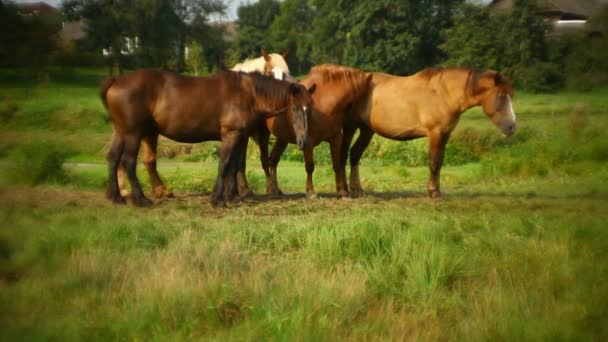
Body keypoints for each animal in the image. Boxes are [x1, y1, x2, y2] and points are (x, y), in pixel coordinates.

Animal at [100, 70, 316, 206]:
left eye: (310, 109)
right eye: (295, 108)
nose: (303, 140)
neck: (248, 94)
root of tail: (116, 80)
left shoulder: (239, 137)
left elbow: (234, 166)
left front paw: (233, 197)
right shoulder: (231, 135)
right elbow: (225, 165)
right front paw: (218, 199)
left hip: (122, 132)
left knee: (113, 158)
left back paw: (116, 197)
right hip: (133, 133)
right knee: (128, 162)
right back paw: (140, 199)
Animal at [255, 64, 370, 198]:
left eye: (310, 108)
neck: (325, 106)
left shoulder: (336, 139)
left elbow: (336, 164)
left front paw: (342, 191)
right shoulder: (308, 143)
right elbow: (310, 166)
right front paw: (310, 191)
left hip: (282, 139)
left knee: (273, 160)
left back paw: (275, 189)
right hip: (264, 134)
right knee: (265, 161)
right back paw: (270, 189)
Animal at [344, 67, 516, 198]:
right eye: (501, 96)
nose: (512, 127)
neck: (444, 94)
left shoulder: (445, 134)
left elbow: (439, 162)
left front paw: (436, 190)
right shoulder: (435, 133)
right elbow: (434, 162)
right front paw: (433, 193)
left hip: (367, 130)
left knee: (355, 154)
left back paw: (358, 190)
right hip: (353, 127)